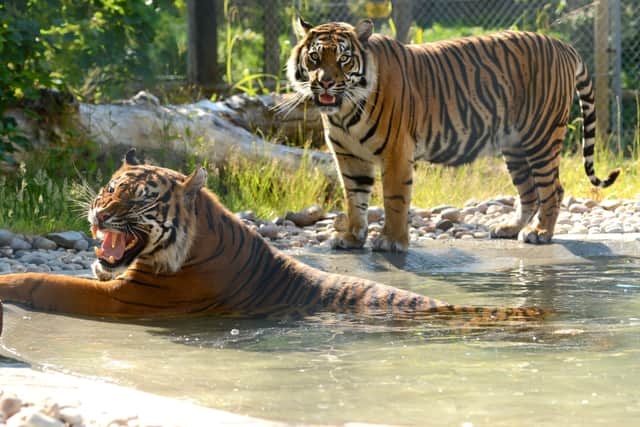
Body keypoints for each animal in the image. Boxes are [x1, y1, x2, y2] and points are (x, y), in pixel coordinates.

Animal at [285, 17, 620, 252]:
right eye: (315, 58)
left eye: (344, 59)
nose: (325, 83)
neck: (343, 112)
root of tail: (562, 44)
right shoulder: (349, 156)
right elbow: (355, 198)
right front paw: (352, 237)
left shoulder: (396, 153)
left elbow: (394, 199)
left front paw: (392, 240)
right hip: (515, 145)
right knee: (529, 192)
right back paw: (510, 228)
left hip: (541, 137)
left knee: (553, 189)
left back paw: (540, 233)